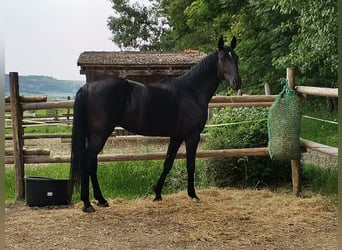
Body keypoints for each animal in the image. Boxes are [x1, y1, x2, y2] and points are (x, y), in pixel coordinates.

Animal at [69, 36, 242, 212]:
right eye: (222, 58)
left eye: (236, 57)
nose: (237, 82)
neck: (191, 91)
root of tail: (88, 87)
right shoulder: (192, 136)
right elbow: (190, 165)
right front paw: (193, 195)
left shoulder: (176, 136)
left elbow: (168, 163)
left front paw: (158, 194)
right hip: (100, 134)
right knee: (87, 162)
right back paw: (87, 203)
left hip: (95, 135)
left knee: (93, 164)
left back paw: (101, 200)